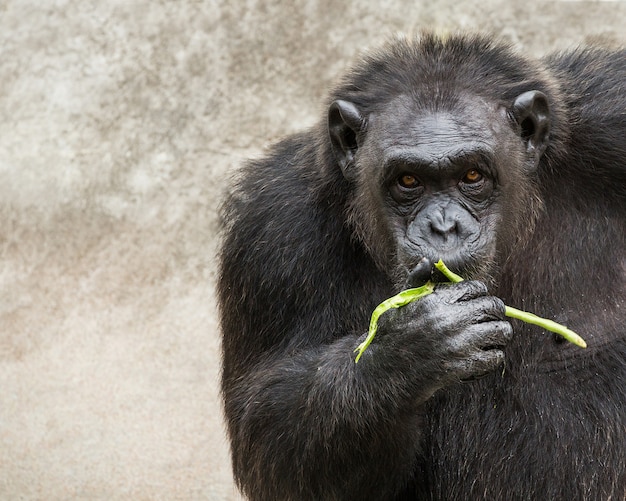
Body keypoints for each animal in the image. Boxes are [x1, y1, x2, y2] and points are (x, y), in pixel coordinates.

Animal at [216, 33, 624, 498]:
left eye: (472, 176)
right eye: (408, 181)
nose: (443, 226)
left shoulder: (611, 115)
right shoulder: (270, 232)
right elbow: (265, 428)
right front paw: (411, 346)